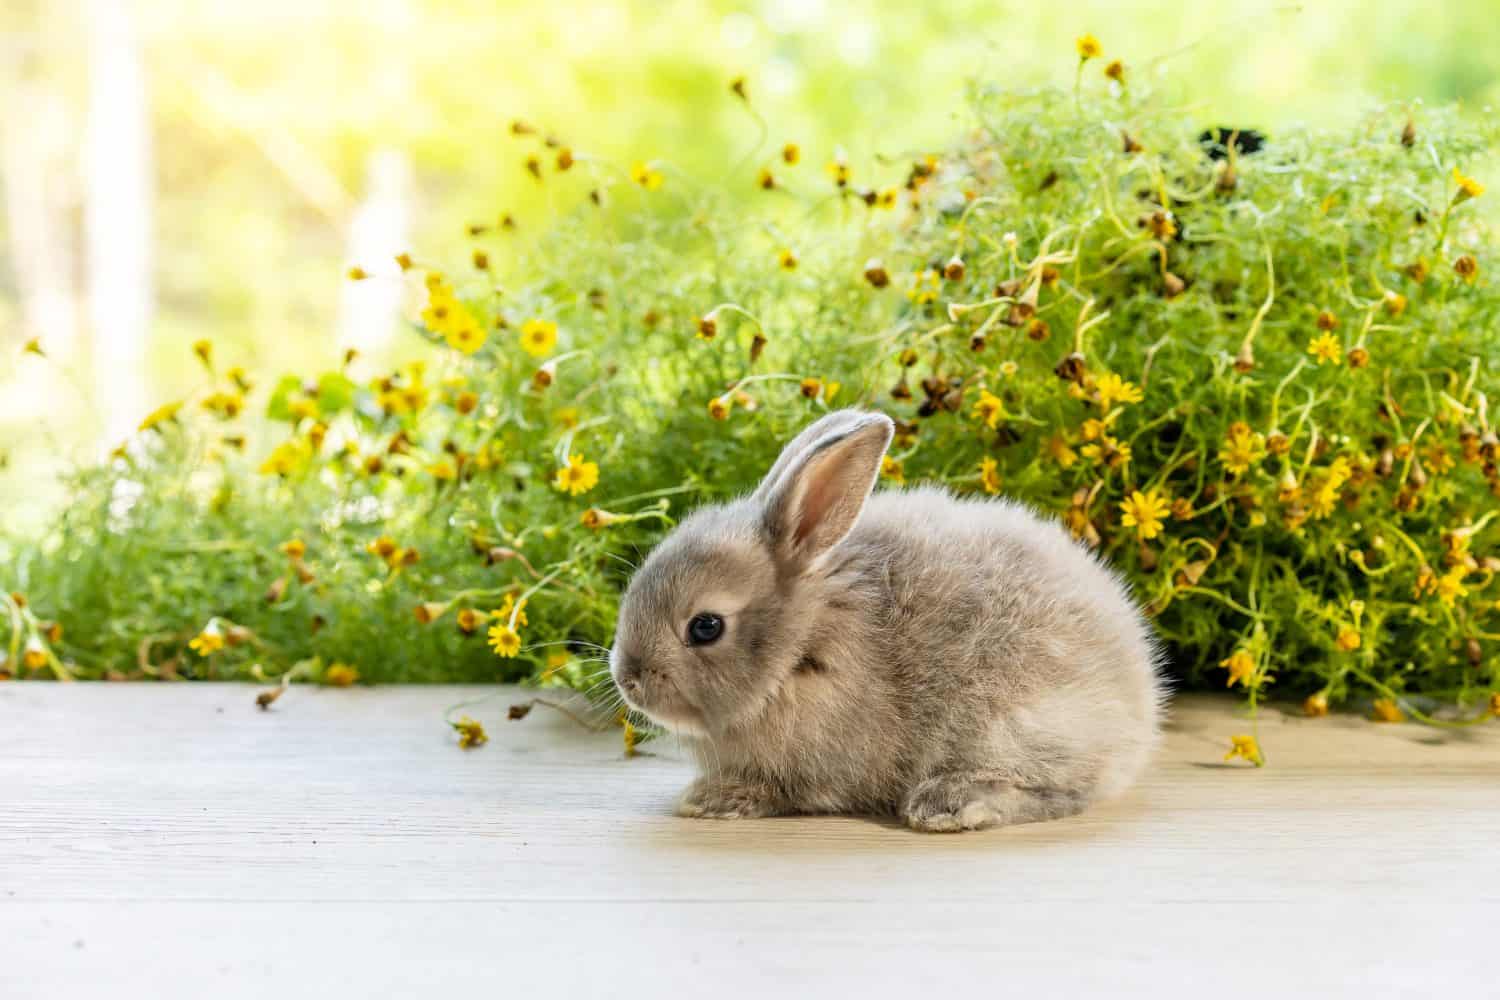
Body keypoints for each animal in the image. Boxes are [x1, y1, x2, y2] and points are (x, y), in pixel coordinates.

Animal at [609, 408, 1166, 832]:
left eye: (705, 627)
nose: (628, 680)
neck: (801, 643)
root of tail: (1140, 707)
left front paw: (714, 799)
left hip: (1012, 723)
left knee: (1064, 791)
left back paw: (949, 804)